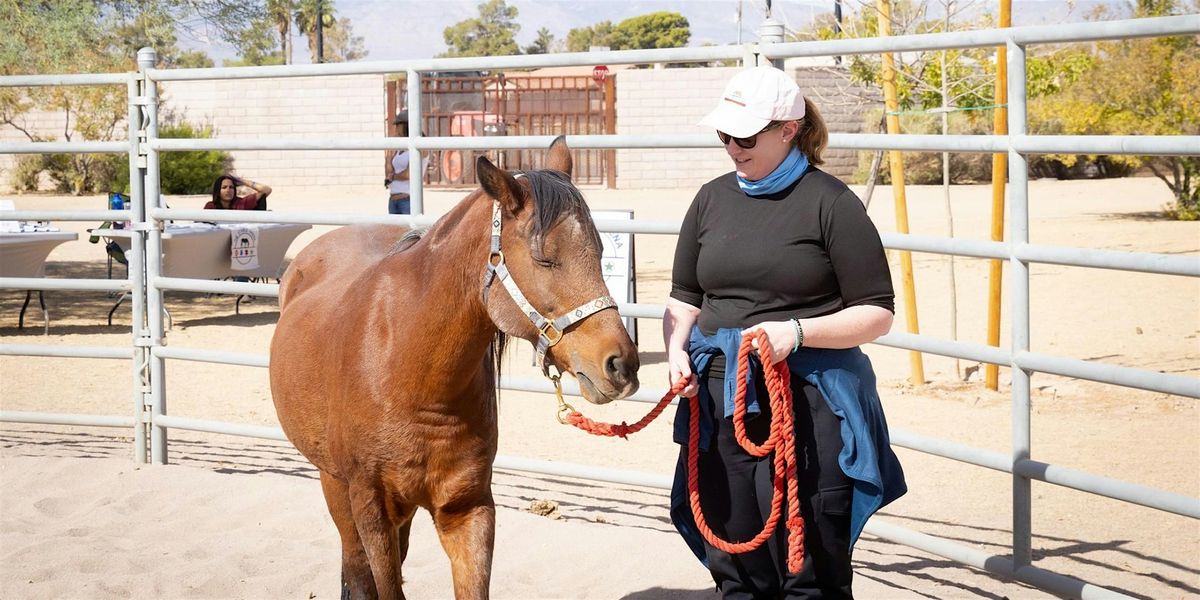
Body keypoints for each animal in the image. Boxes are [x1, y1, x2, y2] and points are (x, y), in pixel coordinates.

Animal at [270, 138, 638, 600]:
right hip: (334, 484)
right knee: (355, 569)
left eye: (602, 253)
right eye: (544, 259)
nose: (622, 364)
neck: (411, 375)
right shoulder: (370, 507)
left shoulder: (469, 508)